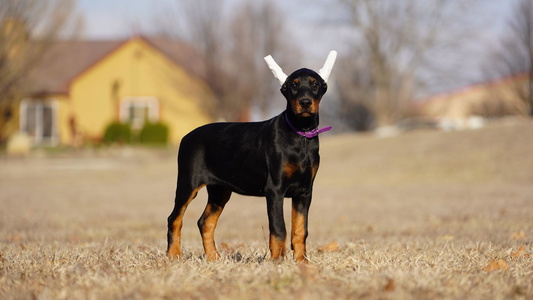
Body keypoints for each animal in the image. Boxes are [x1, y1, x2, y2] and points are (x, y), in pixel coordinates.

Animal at [166, 52, 334, 262]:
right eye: (294, 86)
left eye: (315, 84)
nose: (305, 102)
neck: (300, 134)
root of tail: (186, 137)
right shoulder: (275, 189)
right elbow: (278, 228)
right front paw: (276, 261)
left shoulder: (305, 191)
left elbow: (300, 229)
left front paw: (301, 261)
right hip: (188, 184)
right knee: (174, 218)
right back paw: (173, 254)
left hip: (220, 191)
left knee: (205, 222)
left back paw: (214, 257)